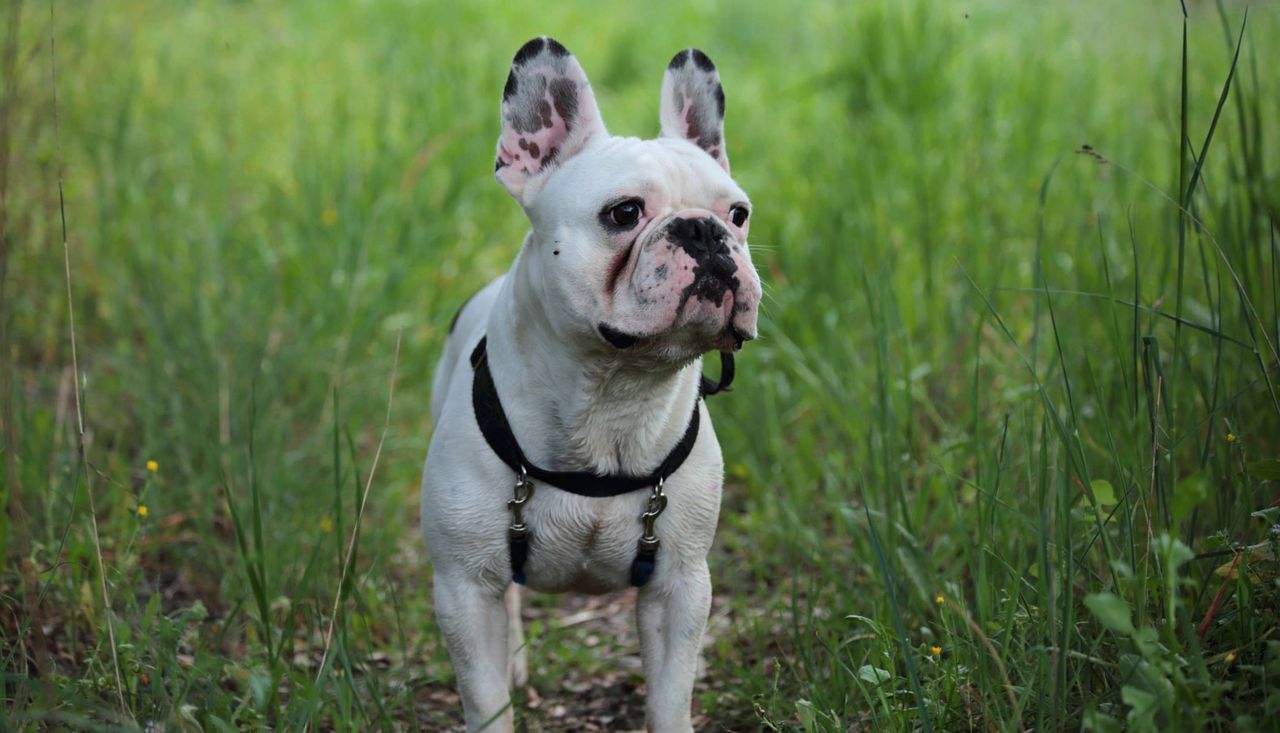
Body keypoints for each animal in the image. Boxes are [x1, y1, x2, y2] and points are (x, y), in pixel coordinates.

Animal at [419, 39, 757, 731]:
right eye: (624, 213)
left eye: (738, 214)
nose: (705, 230)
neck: (614, 393)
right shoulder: (463, 588)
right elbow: (485, 700)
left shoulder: (680, 588)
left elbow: (670, 696)